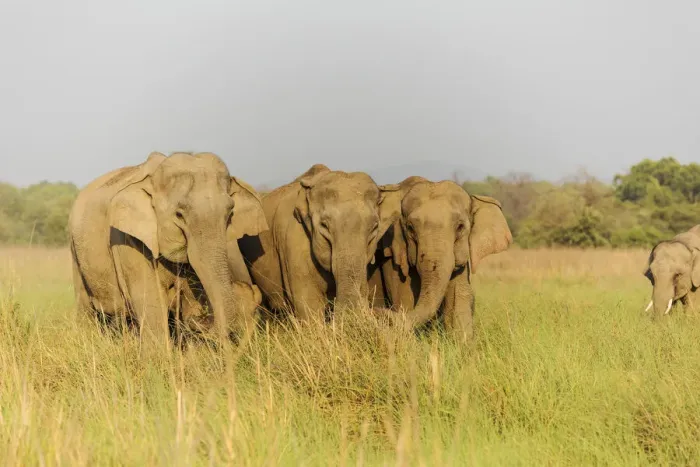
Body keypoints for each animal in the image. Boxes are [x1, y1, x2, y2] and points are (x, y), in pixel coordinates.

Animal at [68, 152, 268, 345]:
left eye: (230, 213)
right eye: (179, 215)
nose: (200, 319)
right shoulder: (126, 237)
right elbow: (149, 300)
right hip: (76, 252)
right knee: (85, 307)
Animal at [368, 176, 512, 341]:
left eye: (460, 227)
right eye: (410, 228)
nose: (375, 312)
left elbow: (459, 297)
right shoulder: (392, 258)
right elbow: (405, 299)